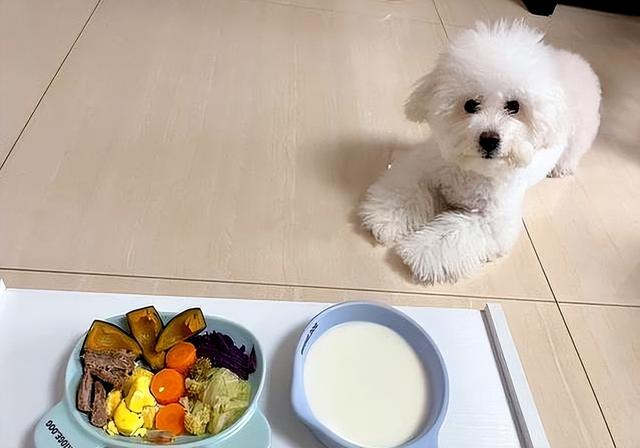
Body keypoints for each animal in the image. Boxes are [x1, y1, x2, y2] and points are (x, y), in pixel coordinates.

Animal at [359, 20, 601, 284]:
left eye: (514, 106)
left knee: (572, 151)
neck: (473, 170)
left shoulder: (492, 222)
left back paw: (561, 168)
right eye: (470, 104)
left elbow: (452, 234)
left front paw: (418, 253)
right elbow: (405, 193)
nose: (489, 139)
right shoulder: (424, 167)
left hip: (579, 134)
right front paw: (387, 217)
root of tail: (579, 61)